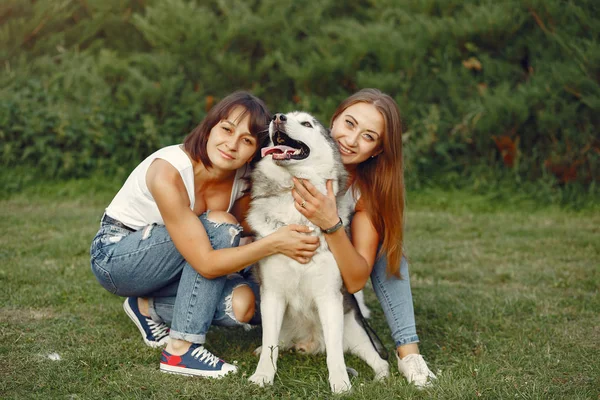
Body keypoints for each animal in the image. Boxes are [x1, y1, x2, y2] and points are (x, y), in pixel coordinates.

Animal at [247, 111, 390, 392]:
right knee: (276, 342)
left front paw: (340, 384)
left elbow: (335, 354)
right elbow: (270, 346)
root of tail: (310, 342)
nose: (277, 117)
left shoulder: (329, 297)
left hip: (355, 331)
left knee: (379, 360)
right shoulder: (272, 295)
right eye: (283, 116)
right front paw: (263, 376)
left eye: (307, 124)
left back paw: (380, 377)